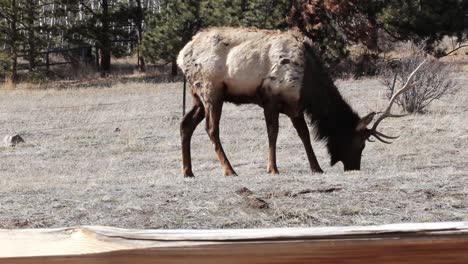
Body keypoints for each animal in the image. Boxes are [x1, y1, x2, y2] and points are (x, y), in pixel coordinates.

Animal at [177, 27, 426, 177]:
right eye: (360, 144)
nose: (354, 168)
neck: (309, 85)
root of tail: (181, 56)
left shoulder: (294, 106)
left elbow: (305, 134)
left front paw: (316, 167)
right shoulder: (270, 97)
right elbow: (273, 133)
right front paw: (273, 168)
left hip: (197, 96)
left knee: (185, 124)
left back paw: (188, 171)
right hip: (211, 90)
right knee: (211, 129)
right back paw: (229, 170)